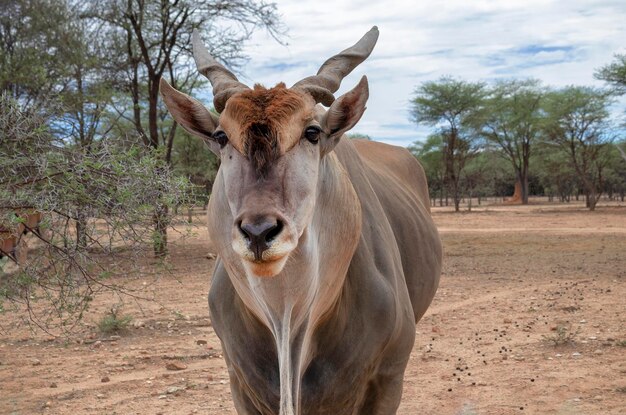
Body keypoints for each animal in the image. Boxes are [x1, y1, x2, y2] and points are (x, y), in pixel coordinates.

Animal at [161, 26, 444, 415]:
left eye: (312, 132)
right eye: (221, 136)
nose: (259, 232)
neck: (289, 326)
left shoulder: (389, 378)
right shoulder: (239, 384)